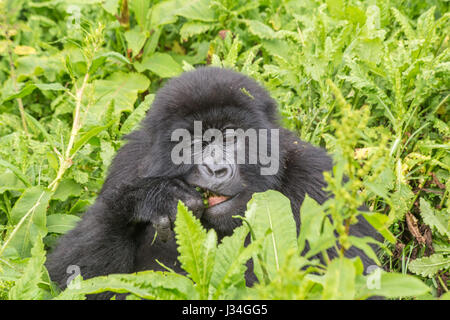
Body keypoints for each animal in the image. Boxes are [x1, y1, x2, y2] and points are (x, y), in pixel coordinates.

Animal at [47, 67, 382, 298]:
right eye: (193, 143)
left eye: (231, 137)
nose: (216, 168)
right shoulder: (129, 164)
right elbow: (71, 278)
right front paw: (148, 199)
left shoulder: (319, 180)